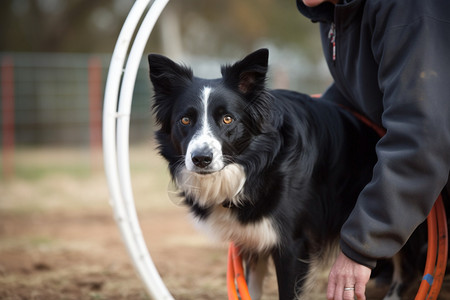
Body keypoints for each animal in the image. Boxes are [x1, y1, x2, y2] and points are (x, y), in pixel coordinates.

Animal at [148, 48, 426, 298]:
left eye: (227, 119)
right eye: (185, 120)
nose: (201, 159)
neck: (257, 167)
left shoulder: (292, 245)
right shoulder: (252, 238)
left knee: (406, 268)